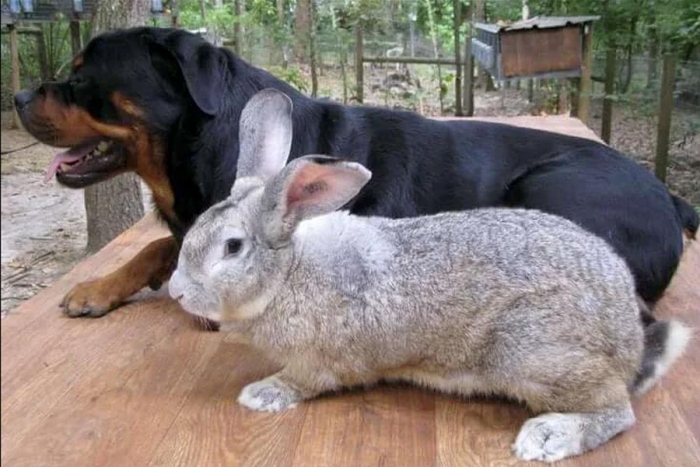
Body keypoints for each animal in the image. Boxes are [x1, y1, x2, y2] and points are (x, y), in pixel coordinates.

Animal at [13, 26, 696, 318]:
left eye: (81, 78)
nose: (18, 96)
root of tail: (670, 196)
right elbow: (158, 244)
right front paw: (101, 285)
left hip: (548, 187)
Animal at [170, 88, 688, 464]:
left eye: (232, 247)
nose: (176, 292)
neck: (288, 272)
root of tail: (628, 338)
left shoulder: (319, 361)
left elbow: (303, 380)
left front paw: (262, 394)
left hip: (532, 351)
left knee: (616, 410)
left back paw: (548, 437)